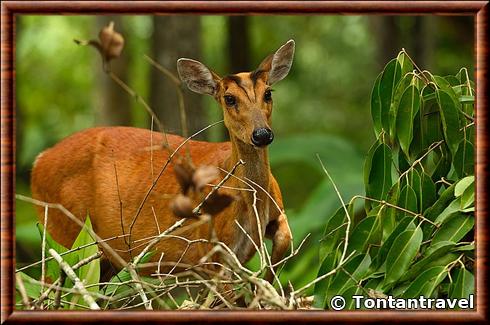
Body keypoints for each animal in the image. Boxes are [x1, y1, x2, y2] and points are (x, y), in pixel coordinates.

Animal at [31, 38, 294, 280]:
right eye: (229, 98)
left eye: (268, 93)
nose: (262, 134)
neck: (252, 206)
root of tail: (38, 161)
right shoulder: (210, 249)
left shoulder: (277, 212)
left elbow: (285, 242)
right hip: (62, 231)